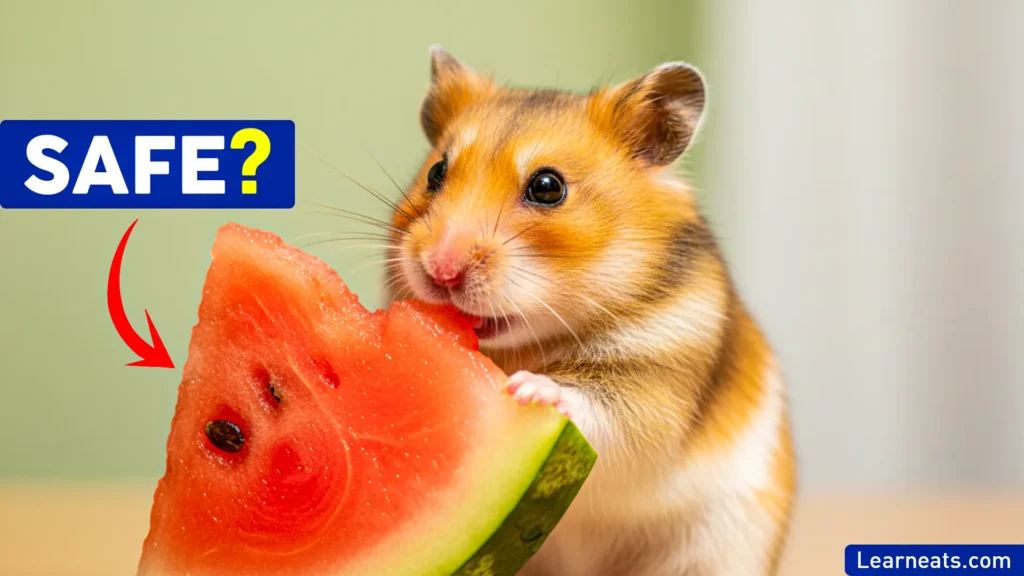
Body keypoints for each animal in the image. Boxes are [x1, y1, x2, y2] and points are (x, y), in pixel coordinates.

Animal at [383, 46, 796, 576]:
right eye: (436, 173)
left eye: (547, 186)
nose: (441, 269)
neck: (529, 344)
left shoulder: (655, 388)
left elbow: (600, 408)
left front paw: (530, 389)